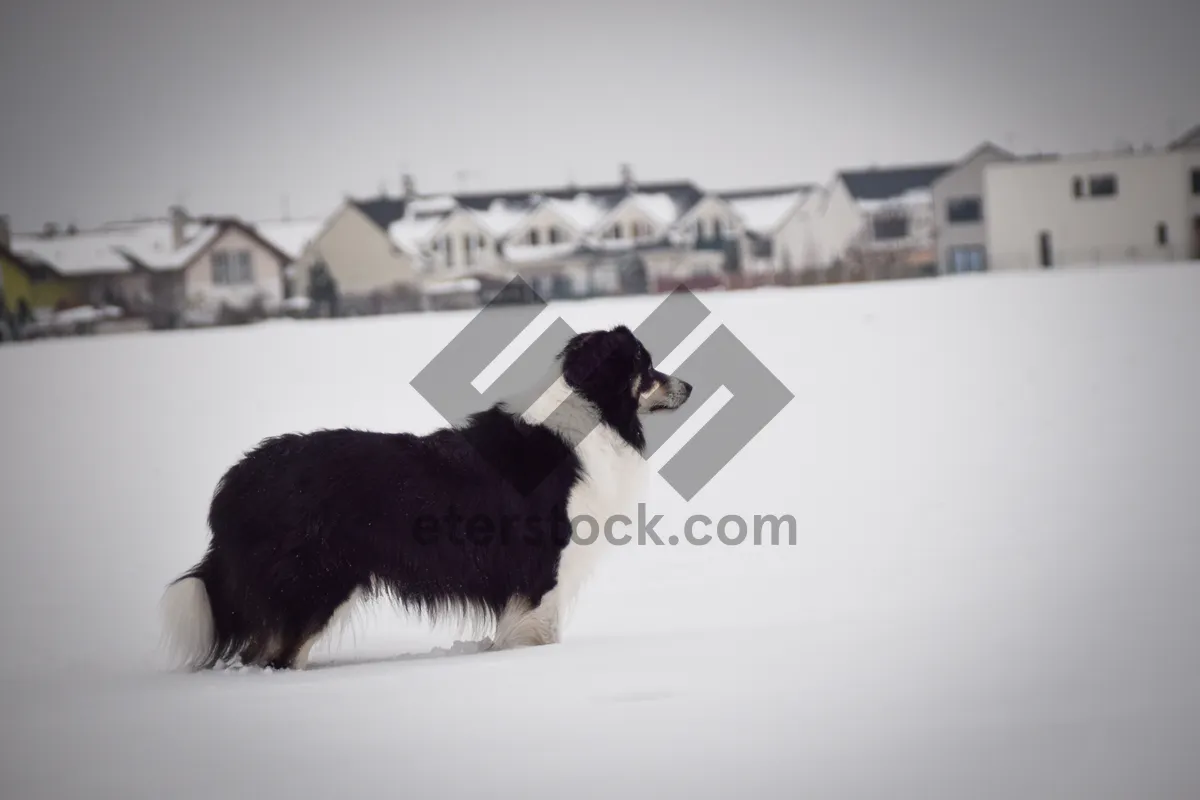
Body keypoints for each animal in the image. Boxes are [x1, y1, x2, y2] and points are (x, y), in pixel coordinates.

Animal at [164, 326, 700, 671]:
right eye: (645, 365)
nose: (690, 386)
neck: (592, 412)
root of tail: (237, 481)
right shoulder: (542, 571)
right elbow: (540, 633)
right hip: (313, 584)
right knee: (275, 657)